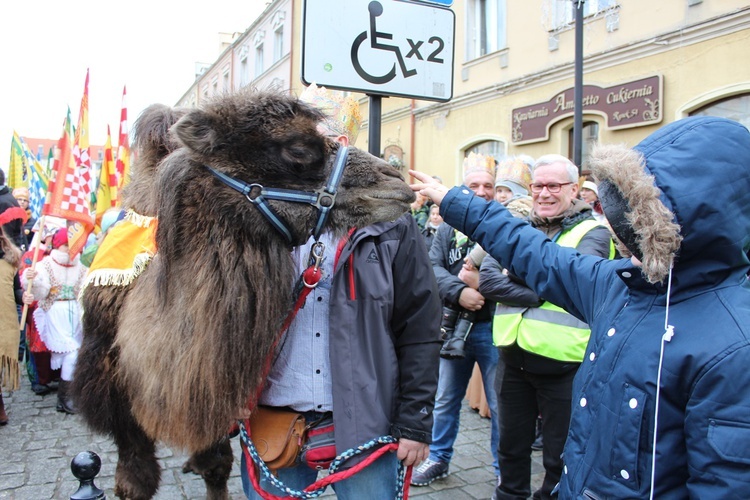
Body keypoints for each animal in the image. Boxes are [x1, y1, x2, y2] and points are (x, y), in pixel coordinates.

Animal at [72, 88, 414, 498]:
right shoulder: (119, 405)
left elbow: (216, 464)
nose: (396, 178)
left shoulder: (219, 388)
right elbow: (134, 480)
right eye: (298, 148)